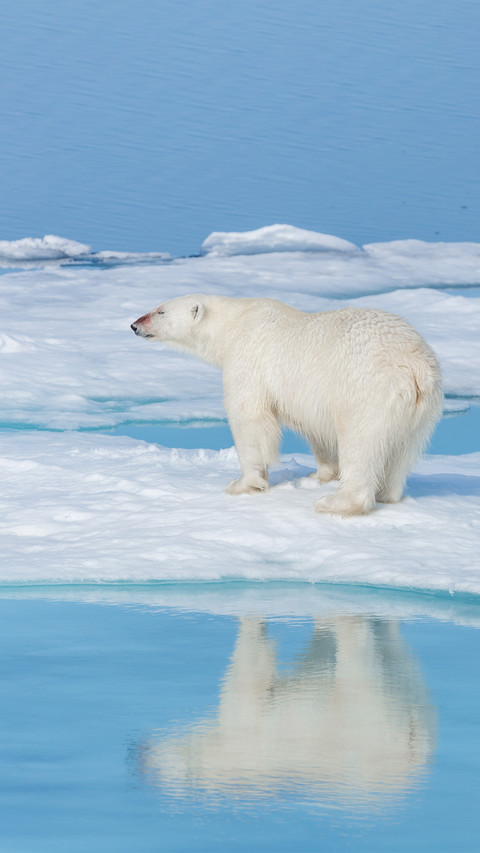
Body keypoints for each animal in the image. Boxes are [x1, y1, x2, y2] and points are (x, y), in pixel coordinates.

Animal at [131, 295, 443, 516]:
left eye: (160, 311)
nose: (135, 325)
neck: (235, 324)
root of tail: (414, 364)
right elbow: (318, 430)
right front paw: (320, 473)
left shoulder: (249, 360)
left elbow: (249, 419)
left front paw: (241, 485)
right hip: (422, 409)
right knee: (403, 450)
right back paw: (386, 494)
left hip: (367, 391)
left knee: (360, 443)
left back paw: (335, 503)